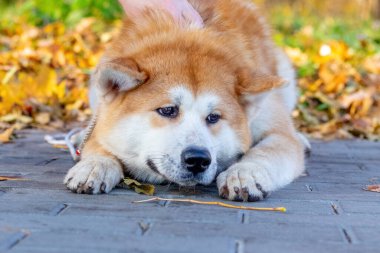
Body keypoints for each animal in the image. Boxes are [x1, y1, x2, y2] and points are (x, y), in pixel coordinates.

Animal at [64, 0, 308, 202]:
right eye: (167, 110)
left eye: (214, 117)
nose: (198, 159)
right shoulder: (104, 120)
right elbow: (98, 144)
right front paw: (95, 165)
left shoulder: (278, 133)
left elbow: (264, 151)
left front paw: (243, 172)